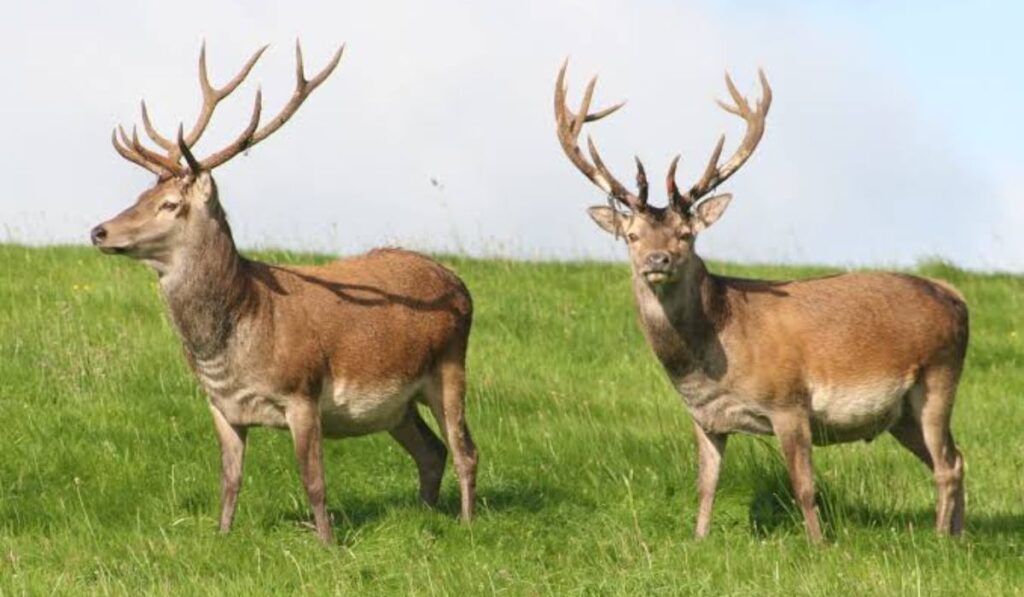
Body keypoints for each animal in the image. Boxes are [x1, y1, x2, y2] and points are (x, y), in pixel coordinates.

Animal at [90, 42, 478, 544]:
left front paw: (327, 544)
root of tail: (459, 283)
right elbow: (229, 479)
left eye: (170, 205)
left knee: (464, 448)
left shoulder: (303, 392)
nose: (99, 231)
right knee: (432, 451)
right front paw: (222, 537)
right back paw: (424, 515)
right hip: (397, 406)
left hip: (450, 365)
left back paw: (468, 522)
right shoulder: (220, 406)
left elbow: (313, 480)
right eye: (138, 196)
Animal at [554, 61, 969, 543]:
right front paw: (698, 540)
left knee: (946, 465)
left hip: (939, 376)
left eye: (686, 234)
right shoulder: (704, 418)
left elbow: (804, 486)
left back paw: (940, 539)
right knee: (957, 457)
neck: (713, 361)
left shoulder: (789, 402)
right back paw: (959, 536)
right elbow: (706, 485)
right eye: (632, 236)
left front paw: (818, 545)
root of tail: (956, 297)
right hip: (901, 414)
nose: (658, 260)